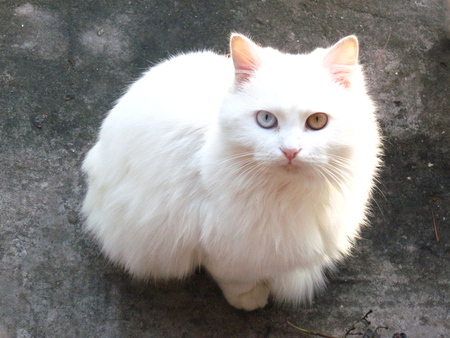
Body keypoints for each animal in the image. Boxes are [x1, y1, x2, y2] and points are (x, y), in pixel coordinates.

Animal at [81, 33, 380, 310]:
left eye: (317, 121)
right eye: (266, 119)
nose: (290, 151)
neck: (287, 195)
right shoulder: (219, 241)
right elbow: (233, 276)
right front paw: (249, 298)